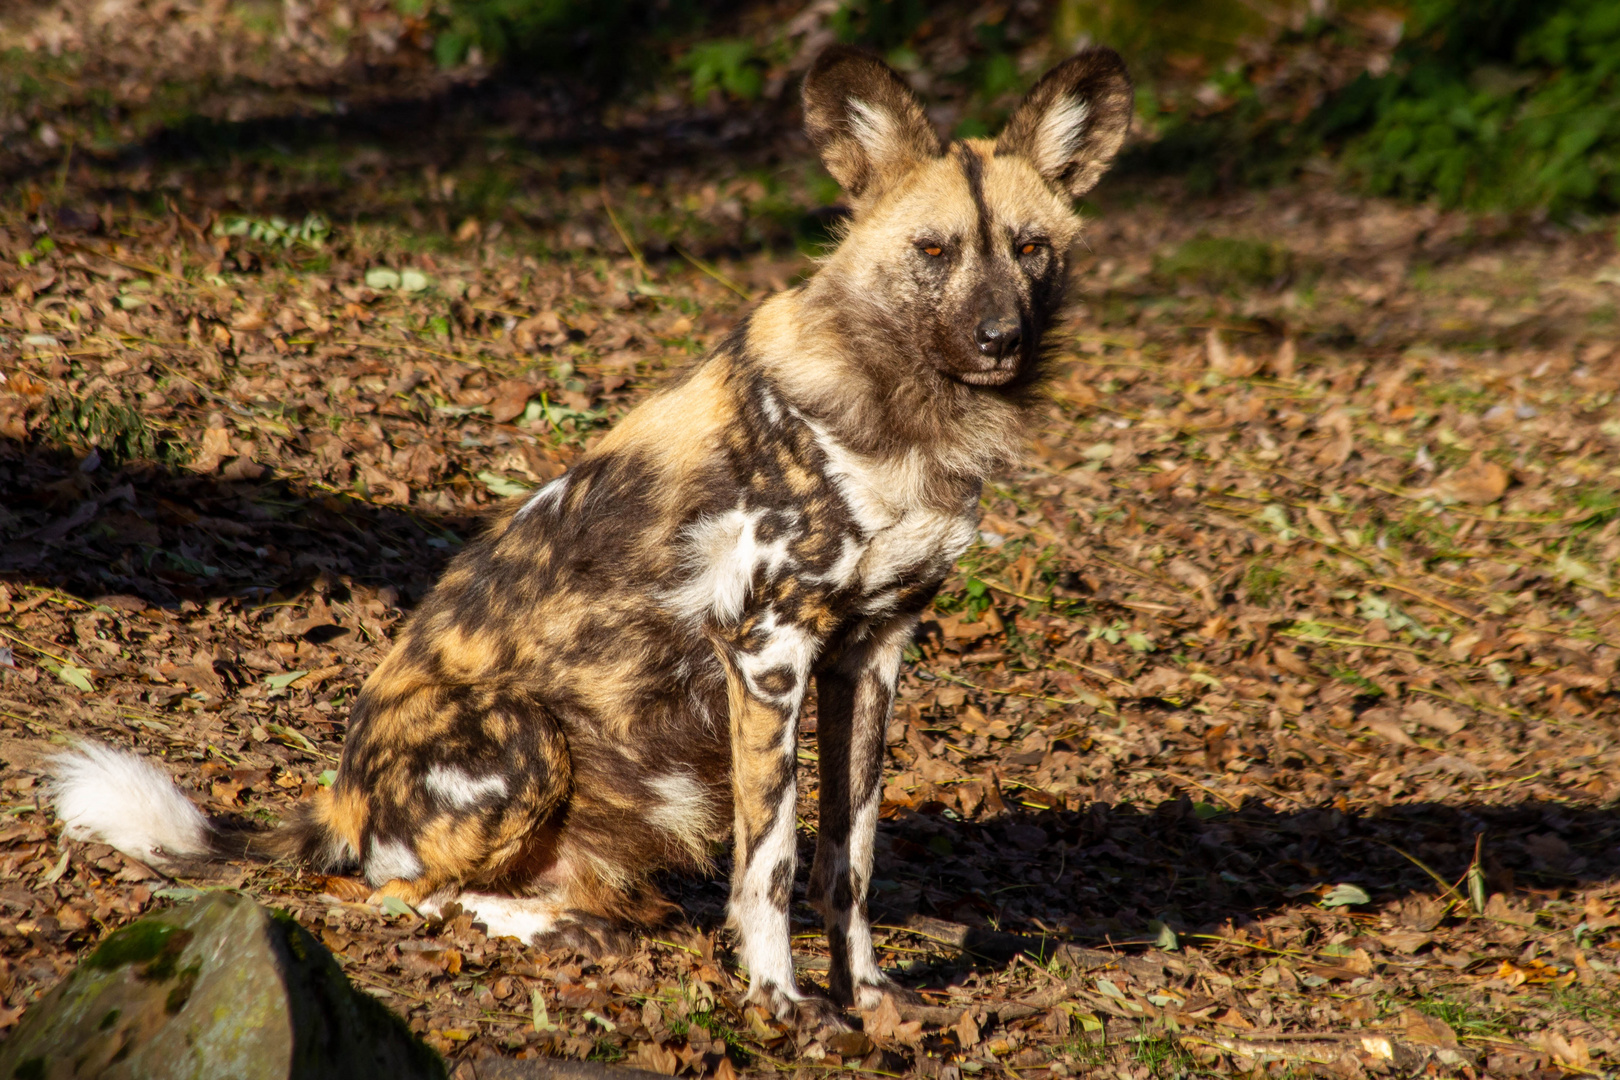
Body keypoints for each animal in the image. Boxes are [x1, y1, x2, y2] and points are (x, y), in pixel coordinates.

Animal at [57, 46, 1134, 1029]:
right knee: (401, 898)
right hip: (523, 740)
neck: (912, 419)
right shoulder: (768, 653)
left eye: (1030, 248)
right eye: (934, 251)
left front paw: (866, 998)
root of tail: (339, 800)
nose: (999, 338)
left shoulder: (871, 653)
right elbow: (775, 860)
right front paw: (781, 1004)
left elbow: (849, 857)